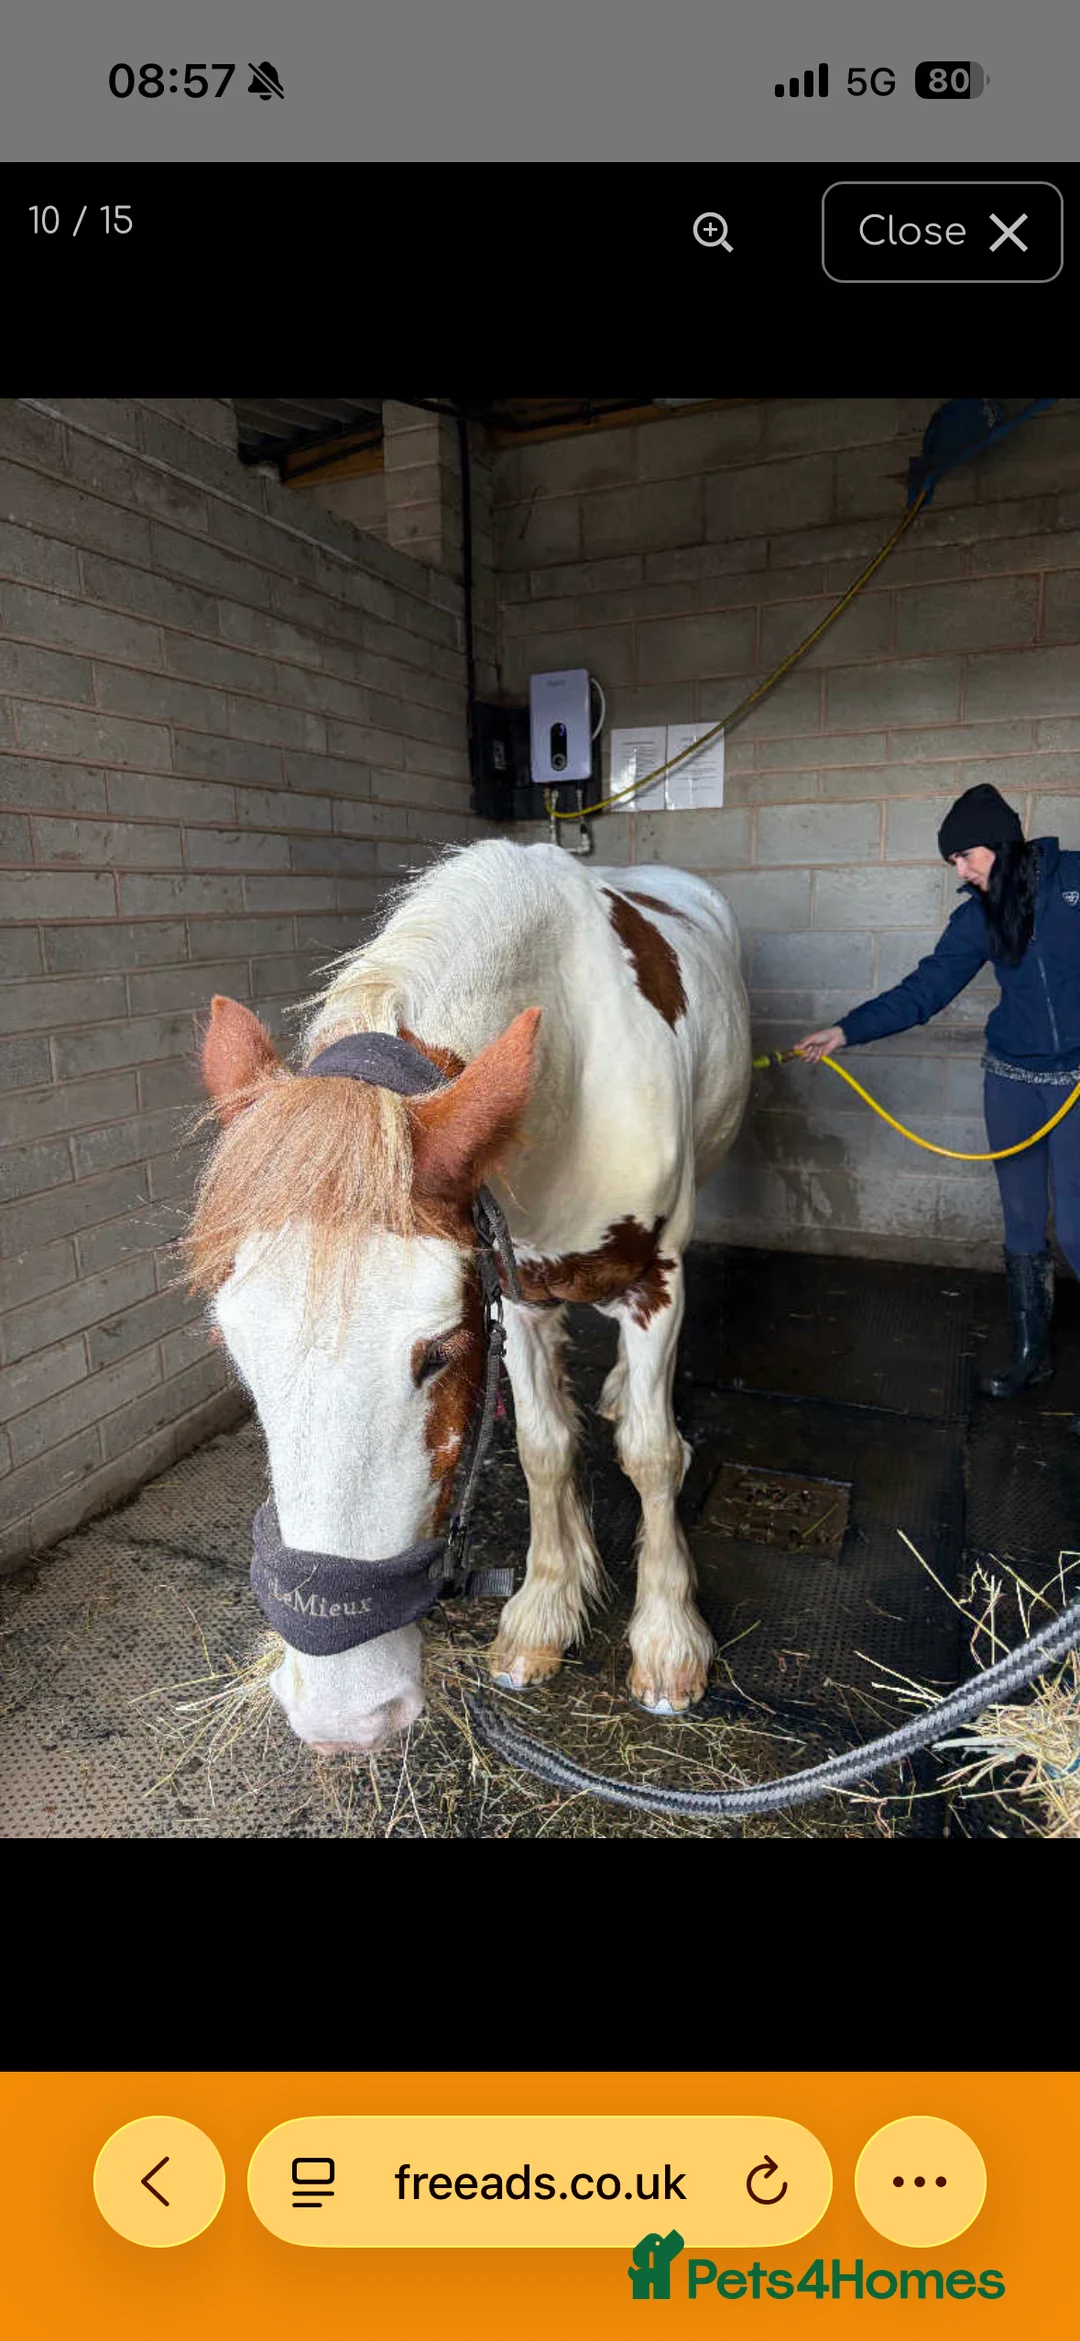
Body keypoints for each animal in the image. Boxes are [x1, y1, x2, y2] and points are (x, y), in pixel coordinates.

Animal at [189, 836, 751, 1753]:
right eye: (235, 1352)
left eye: (440, 1352)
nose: (342, 1714)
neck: (573, 1064)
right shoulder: (511, 1287)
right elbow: (543, 1445)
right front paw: (545, 1609)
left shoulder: (652, 1283)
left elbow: (651, 1454)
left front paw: (668, 1638)